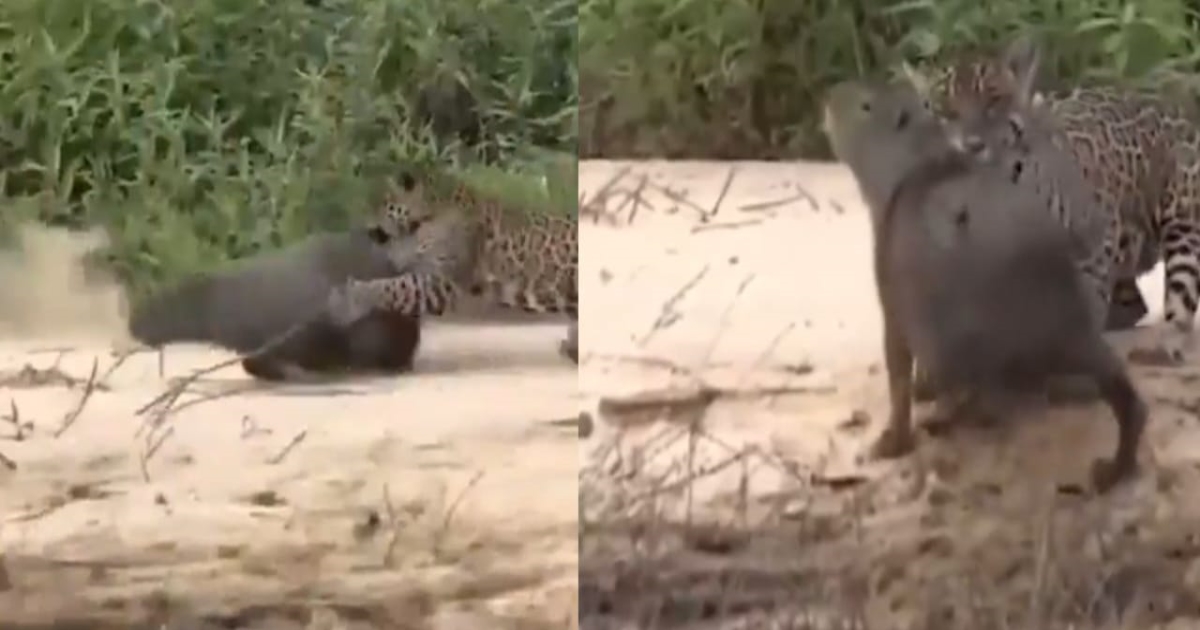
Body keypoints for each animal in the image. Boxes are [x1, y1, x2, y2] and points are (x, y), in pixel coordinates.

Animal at [921, 33, 1200, 364]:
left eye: (994, 100)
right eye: (946, 111)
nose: (972, 145)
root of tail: (1169, 100)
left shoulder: (1095, 238)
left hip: (1182, 224)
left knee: (1180, 293)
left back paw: (1167, 345)